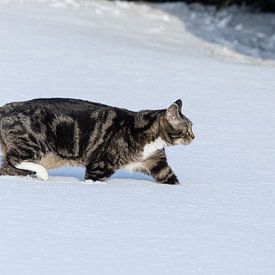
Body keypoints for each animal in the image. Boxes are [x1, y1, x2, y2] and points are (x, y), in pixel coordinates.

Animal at [0, 98, 195, 185]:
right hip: (34, 144)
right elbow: (93, 179)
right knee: (14, 158)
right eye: (187, 129)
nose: (194, 137)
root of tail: (6, 107)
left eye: (192, 127)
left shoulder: (158, 164)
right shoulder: (101, 164)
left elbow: (171, 179)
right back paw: (42, 173)